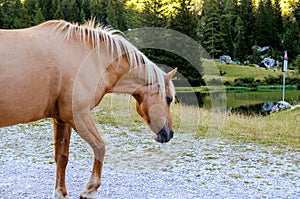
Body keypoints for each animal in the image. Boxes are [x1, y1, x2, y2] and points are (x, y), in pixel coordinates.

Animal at [0, 19, 177, 198]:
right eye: (169, 99)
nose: (169, 134)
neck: (89, 59)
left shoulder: (62, 119)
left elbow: (62, 157)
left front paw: (60, 192)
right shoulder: (78, 115)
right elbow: (100, 147)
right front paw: (90, 189)